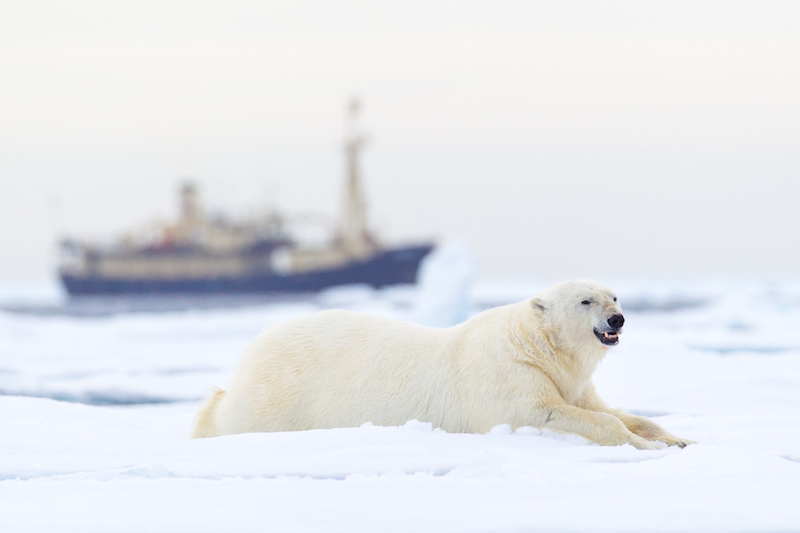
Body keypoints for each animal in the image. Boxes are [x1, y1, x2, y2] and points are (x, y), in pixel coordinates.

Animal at [191, 280, 692, 446]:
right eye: (585, 300)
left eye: (614, 295)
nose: (617, 318)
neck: (535, 345)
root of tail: (254, 346)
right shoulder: (506, 376)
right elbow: (542, 412)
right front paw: (642, 446)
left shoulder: (572, 380)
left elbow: (609, 409)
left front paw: (677, 439)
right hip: (280, 392)